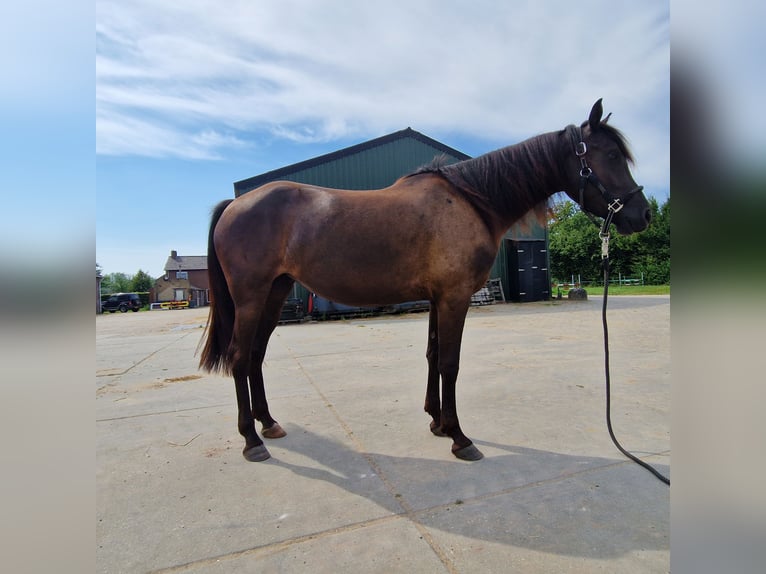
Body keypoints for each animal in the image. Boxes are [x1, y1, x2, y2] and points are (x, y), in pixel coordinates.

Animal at [200, 100, 656, 464]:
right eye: (610, 154)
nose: (644, 215)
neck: (473, 201)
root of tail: (235, 205)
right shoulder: (455, 298)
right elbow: (450, 363)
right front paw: (459, 437)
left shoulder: (438, 299)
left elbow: (433, 356)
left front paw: (437, 422)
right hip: (251, 297)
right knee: (240, 357)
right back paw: (252, 441)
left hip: (274, 294)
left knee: (255, 355)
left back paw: (269, 423)